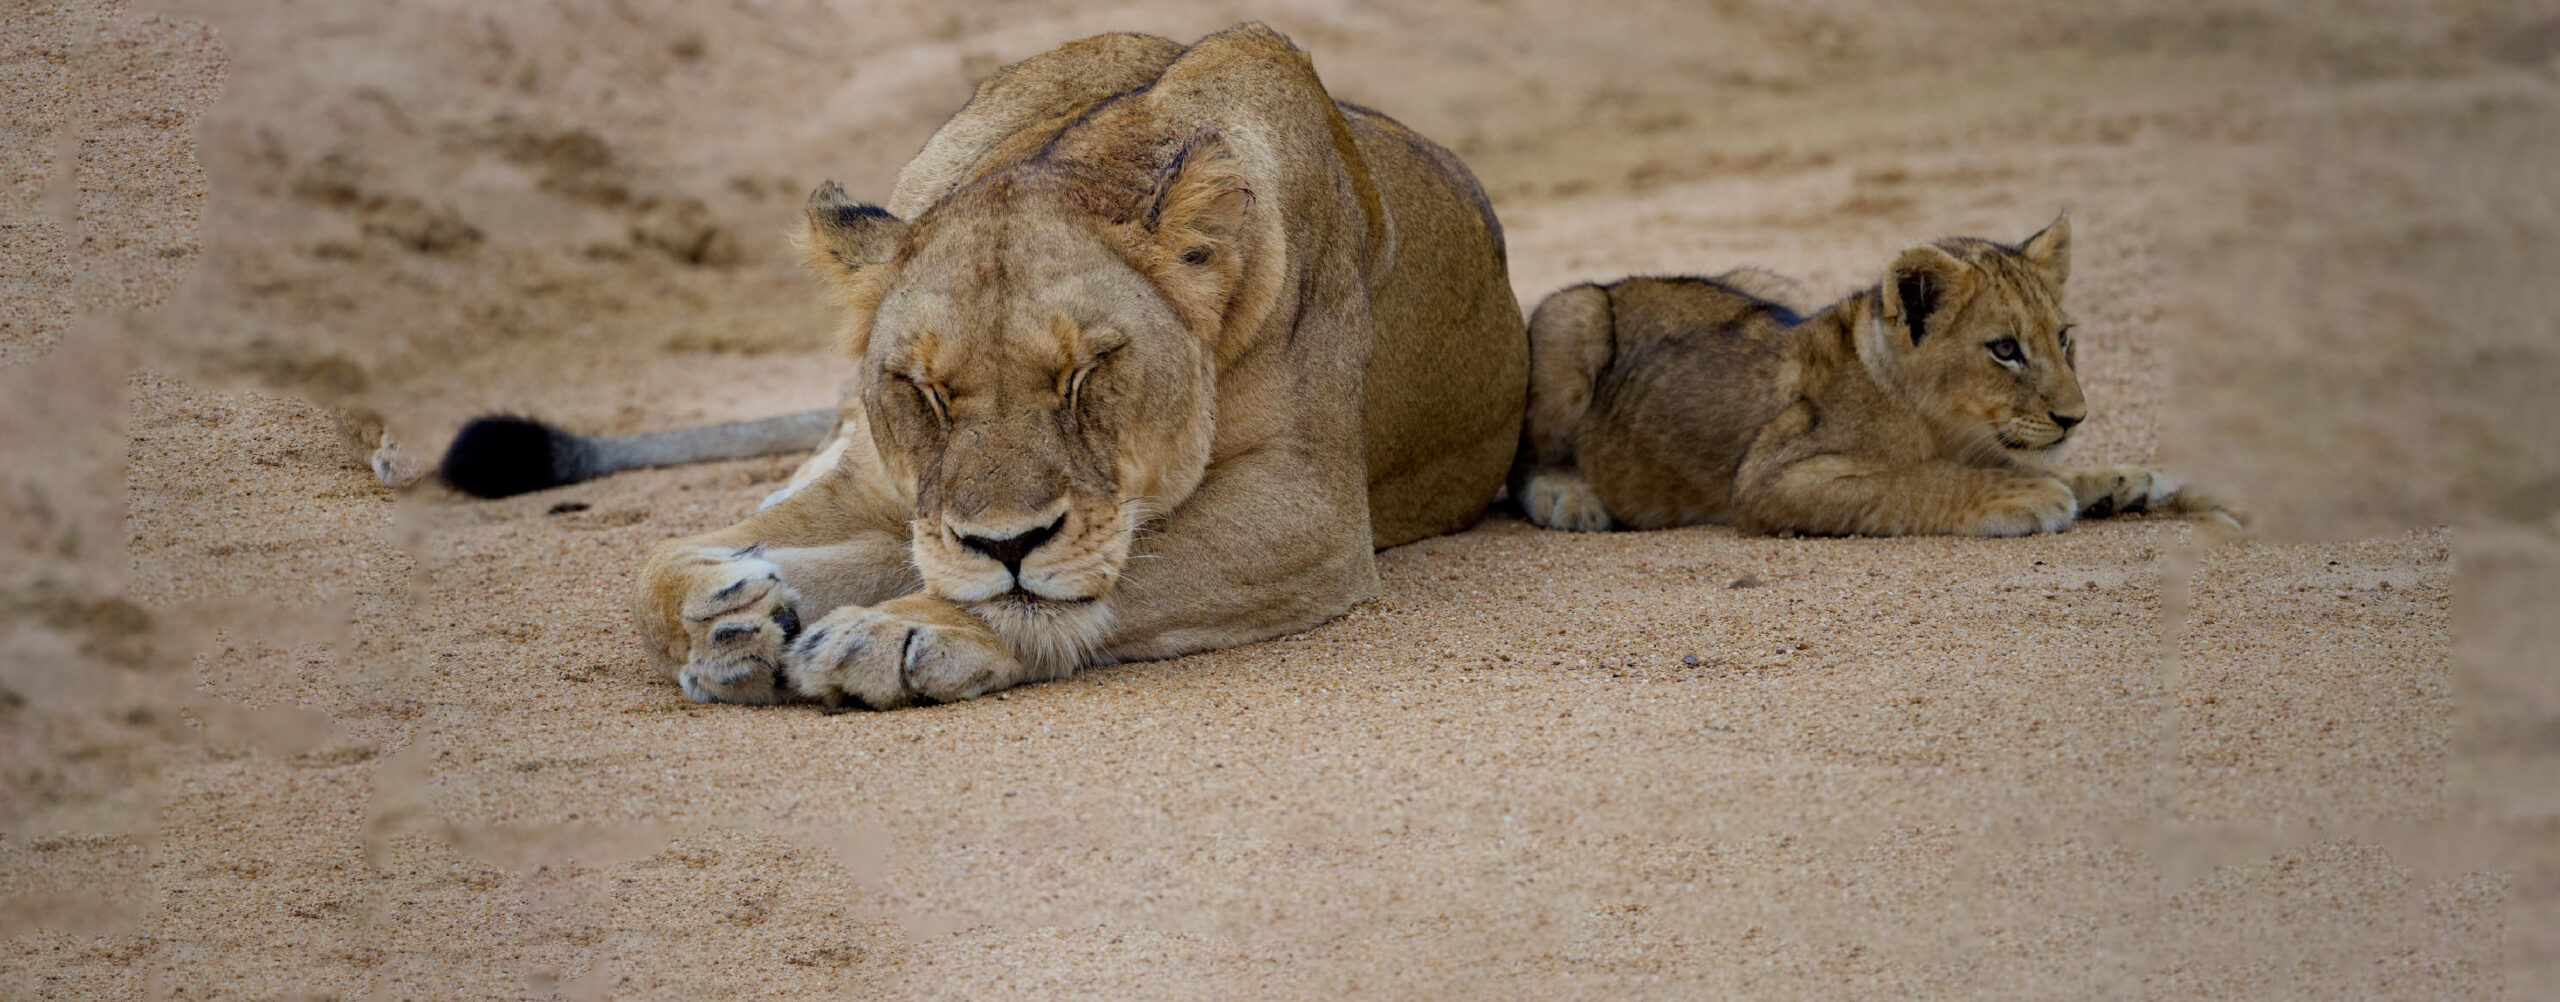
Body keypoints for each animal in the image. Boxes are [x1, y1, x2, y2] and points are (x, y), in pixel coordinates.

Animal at [576, 26, 1526, 707]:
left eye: (1086, 372)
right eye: (924, 391)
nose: (1006, 543)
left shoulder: (1307, 511)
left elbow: (1097, 581)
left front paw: (897, 635)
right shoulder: (887, 485)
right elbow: (650, 564)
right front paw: (724, 618)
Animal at [1512, 217, 2229, 537]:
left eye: (2063, 338)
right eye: (2004, 349)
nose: (2074, 418)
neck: (1943, 425)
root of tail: (1616, 281)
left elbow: (2045, 467)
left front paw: (2126, 483)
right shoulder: (1771, 479)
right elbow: (1912, 478)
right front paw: (2024, 495)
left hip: (1767, 282)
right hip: (1572, 321)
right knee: (1523, 462)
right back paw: (1569, 497)